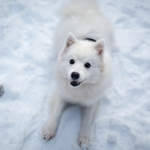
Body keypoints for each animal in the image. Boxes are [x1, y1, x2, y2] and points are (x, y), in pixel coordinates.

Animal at [42, 0, 113, 149]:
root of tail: (84, 9)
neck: (78, 90)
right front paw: (49, 130)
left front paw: (84, 139)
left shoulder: (92, 101)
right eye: (71, 61)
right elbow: (56, 113)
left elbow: (87, 121)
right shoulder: (62, 95)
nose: (74, 75)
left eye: (88, 65)